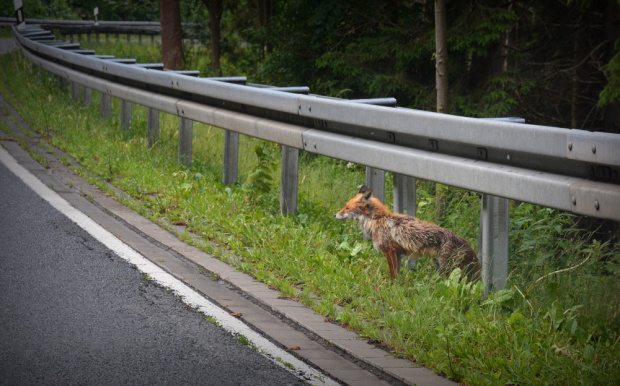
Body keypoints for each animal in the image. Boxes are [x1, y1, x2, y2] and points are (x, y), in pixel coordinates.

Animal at [336, 185, 482, 280]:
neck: (377, 220)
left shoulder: (389, 251)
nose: (335, 215)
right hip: (439, 266)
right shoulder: (397, 252)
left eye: (347, 207)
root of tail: (464, 241)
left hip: (447, 268)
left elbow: (393, 273)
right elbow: (397, 273)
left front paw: (392, 286)